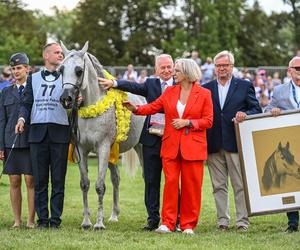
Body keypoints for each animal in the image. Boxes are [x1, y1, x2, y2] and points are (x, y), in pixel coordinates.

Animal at [59, 41, 145, 230]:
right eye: (61, 69)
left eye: (79, 70)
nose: (66, 99)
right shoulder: (81, 150)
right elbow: (85, 184)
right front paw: (86, 222)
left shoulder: (103, 148)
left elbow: (100, 186)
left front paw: (98, 224)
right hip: (114, 153)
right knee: (116, 179)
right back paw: (113, 216)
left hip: (140, 147)